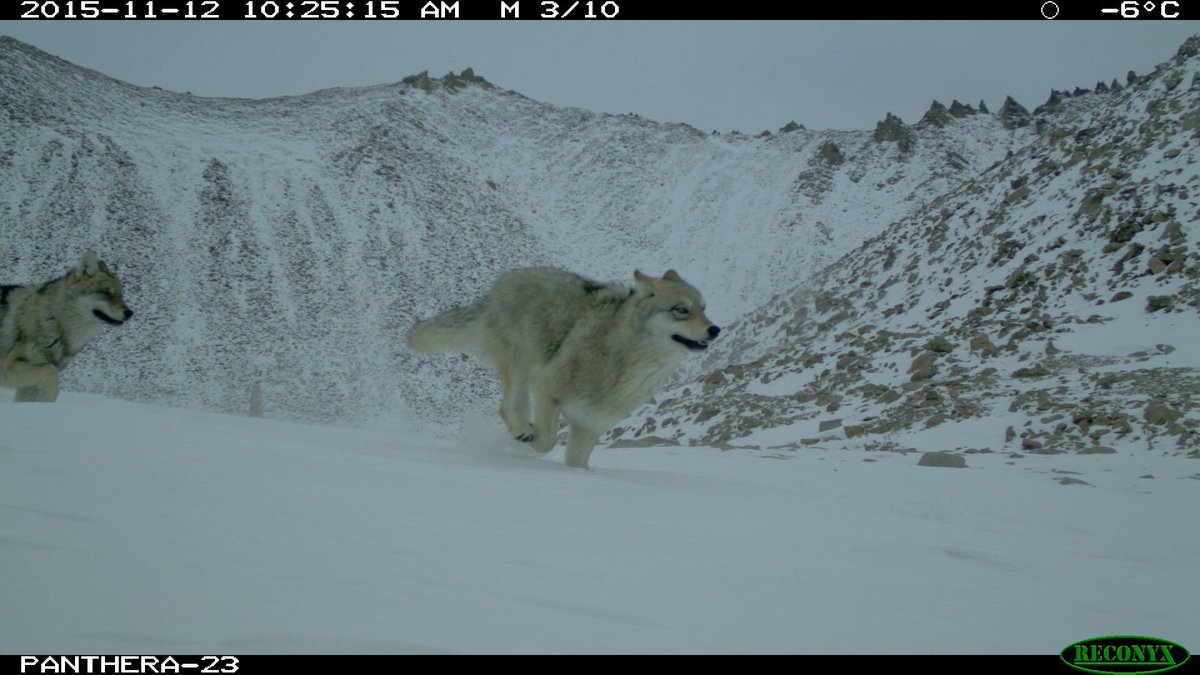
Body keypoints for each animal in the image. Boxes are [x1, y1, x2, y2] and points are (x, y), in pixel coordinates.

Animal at [0, 250, 134, 402]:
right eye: (106, 292)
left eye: (120, 295)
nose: (130, 313)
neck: (54, 322)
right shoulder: (8, 367)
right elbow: (50, 374)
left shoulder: (29, 386)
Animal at [408, 267, 719, 469]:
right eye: (682, 310)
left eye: (704, 308)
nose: (715, 329)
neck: (625, 364)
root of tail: (505, 281)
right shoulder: (549, 392)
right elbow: (546, 441)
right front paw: (529, 440)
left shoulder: (589, 427)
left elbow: (578, 465)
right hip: (524, 364)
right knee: (507, 406)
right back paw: (521, 431)